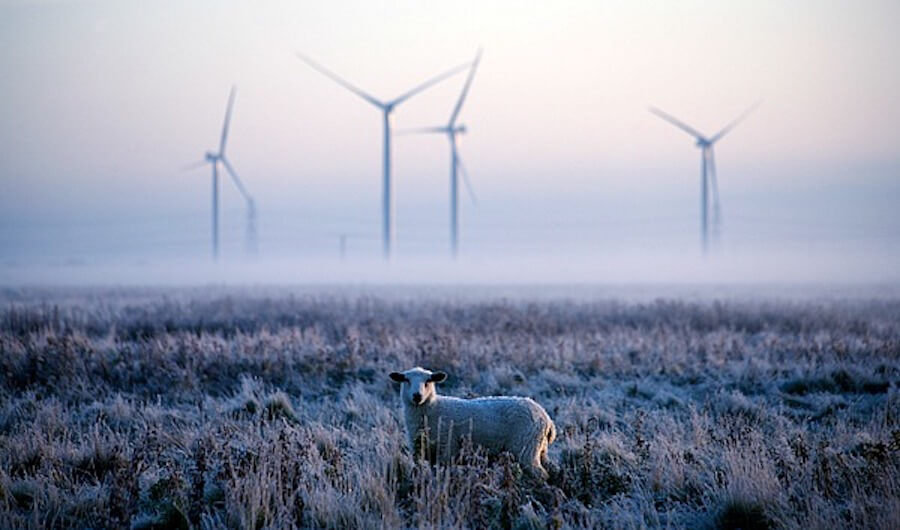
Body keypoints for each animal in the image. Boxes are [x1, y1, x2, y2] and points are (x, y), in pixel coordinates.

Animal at [388, 366, 556, 476]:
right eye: (406, 380)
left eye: (428, 381)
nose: (417, 396)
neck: (433, 409)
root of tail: (546, 417)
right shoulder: (421, 454)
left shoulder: (446, 451)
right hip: (539, 448)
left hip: (526, 448)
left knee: (541, 475)